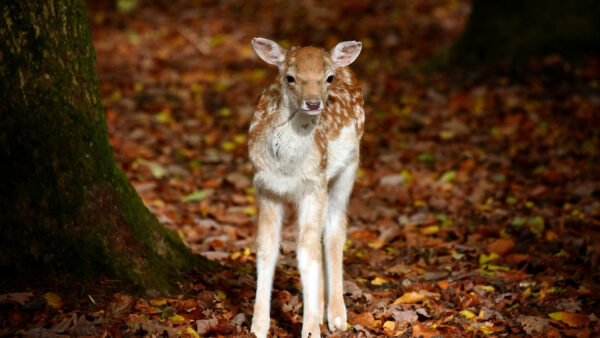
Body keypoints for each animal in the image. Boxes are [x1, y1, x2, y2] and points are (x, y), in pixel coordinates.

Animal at [247, 38, 364, 336]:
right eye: (290, 77)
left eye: (329, 77)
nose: (313, 103)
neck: (288, 168)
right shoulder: (265, 186)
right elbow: (266, 248)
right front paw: (258, 326)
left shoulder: (314, 184)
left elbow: (307, 252)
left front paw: (310, 329)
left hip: (348, 166)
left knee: (335, 230)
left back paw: (336, 317)